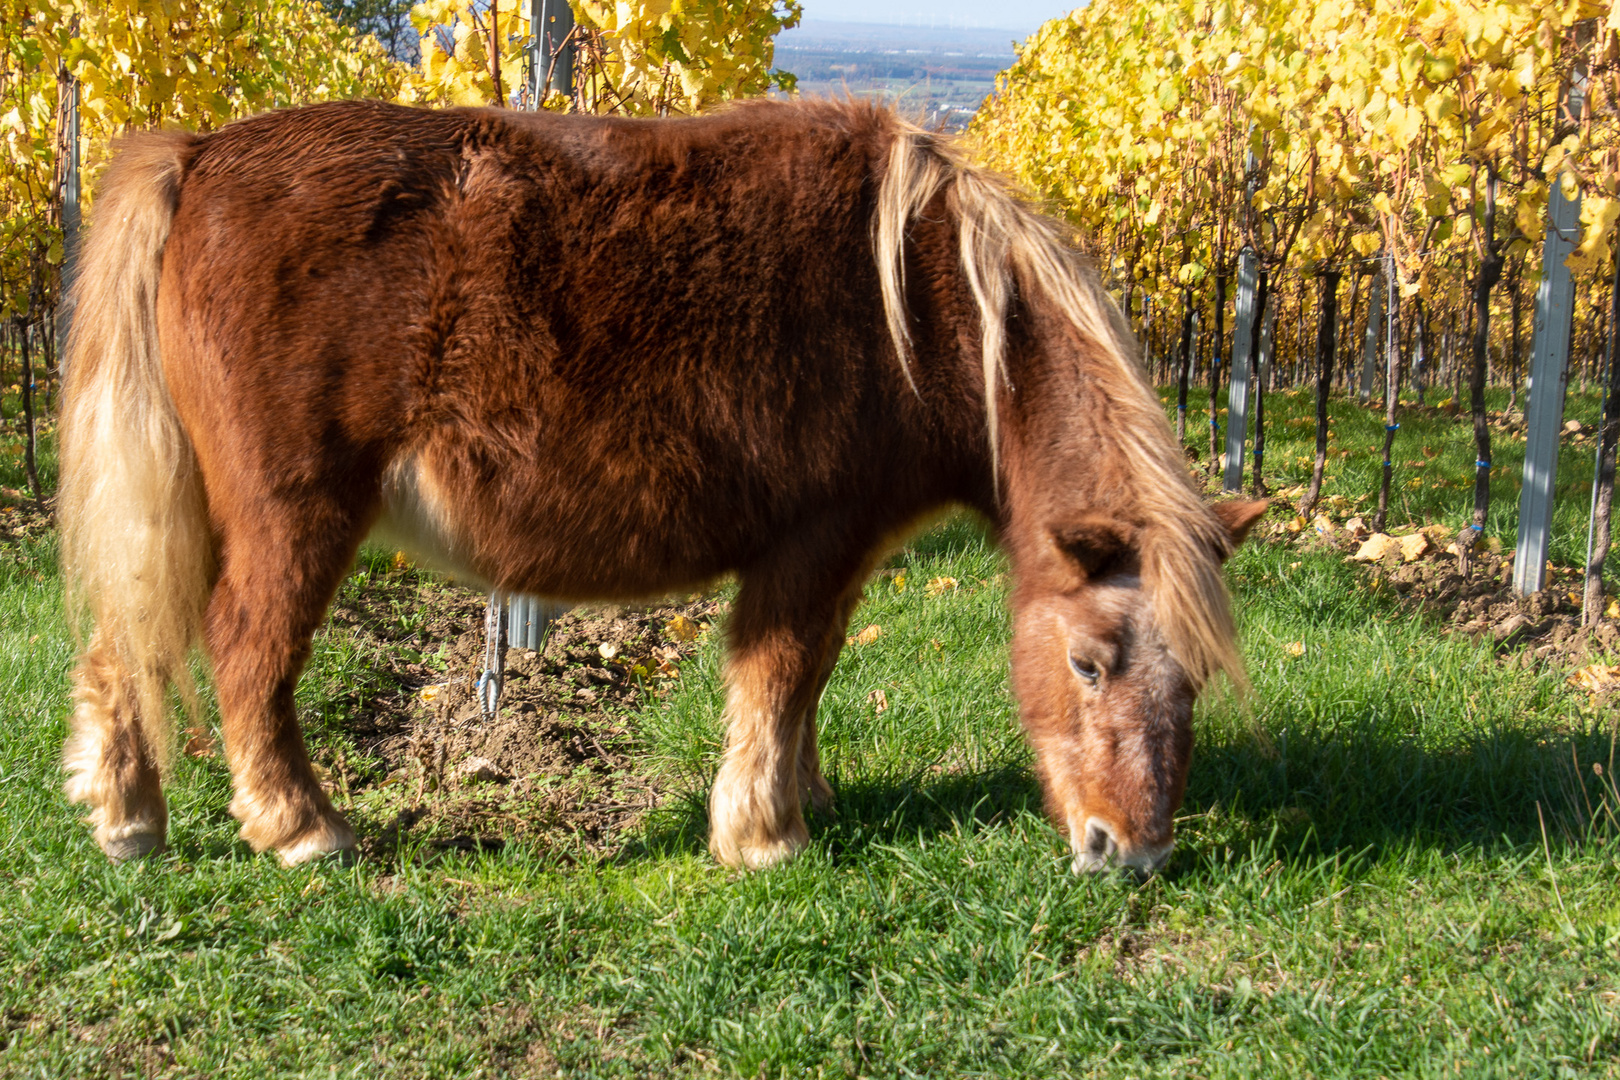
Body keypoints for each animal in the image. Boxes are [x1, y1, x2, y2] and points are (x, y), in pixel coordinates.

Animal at [57, 99, 1263, 880]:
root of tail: (198, 153)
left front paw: (806, 801)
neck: (926, 310)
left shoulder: (837, 556)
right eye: (1088, 664)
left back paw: (129, 820)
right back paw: (301, 829)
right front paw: (764, 837)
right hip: (293, 516)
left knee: (128, 642)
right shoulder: (810, 542)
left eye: (1197, 678)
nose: (1132, 854)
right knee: (246, 652)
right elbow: (780, 673)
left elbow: (810, 679)